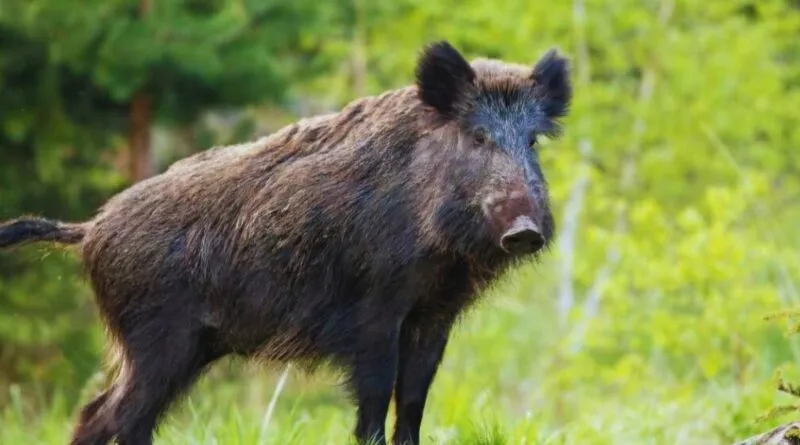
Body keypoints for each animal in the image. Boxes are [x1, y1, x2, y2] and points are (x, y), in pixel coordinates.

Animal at [0, 40, 572, 445]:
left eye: (533, 141)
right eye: (478, 137)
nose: (525, 229)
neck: (440, 257)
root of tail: (89, 230)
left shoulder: (434, 314)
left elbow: (412, 401)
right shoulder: (374, 311)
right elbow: (373, 400)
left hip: (183, 348)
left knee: (110, 417)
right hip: (157, 339)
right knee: (112, 415)